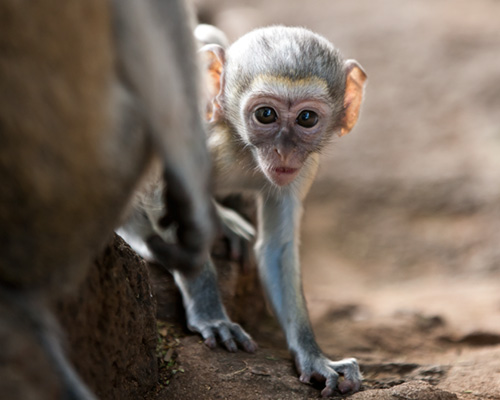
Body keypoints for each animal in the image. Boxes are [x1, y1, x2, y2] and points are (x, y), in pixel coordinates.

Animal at [123, 25, 370, 396]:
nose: (284, 152)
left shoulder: (302, 169)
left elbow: (277, 250)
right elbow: (160, 195)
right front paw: (210, 313)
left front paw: (314, 357)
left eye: (306, 118)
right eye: (265, 114)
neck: (241, 147)